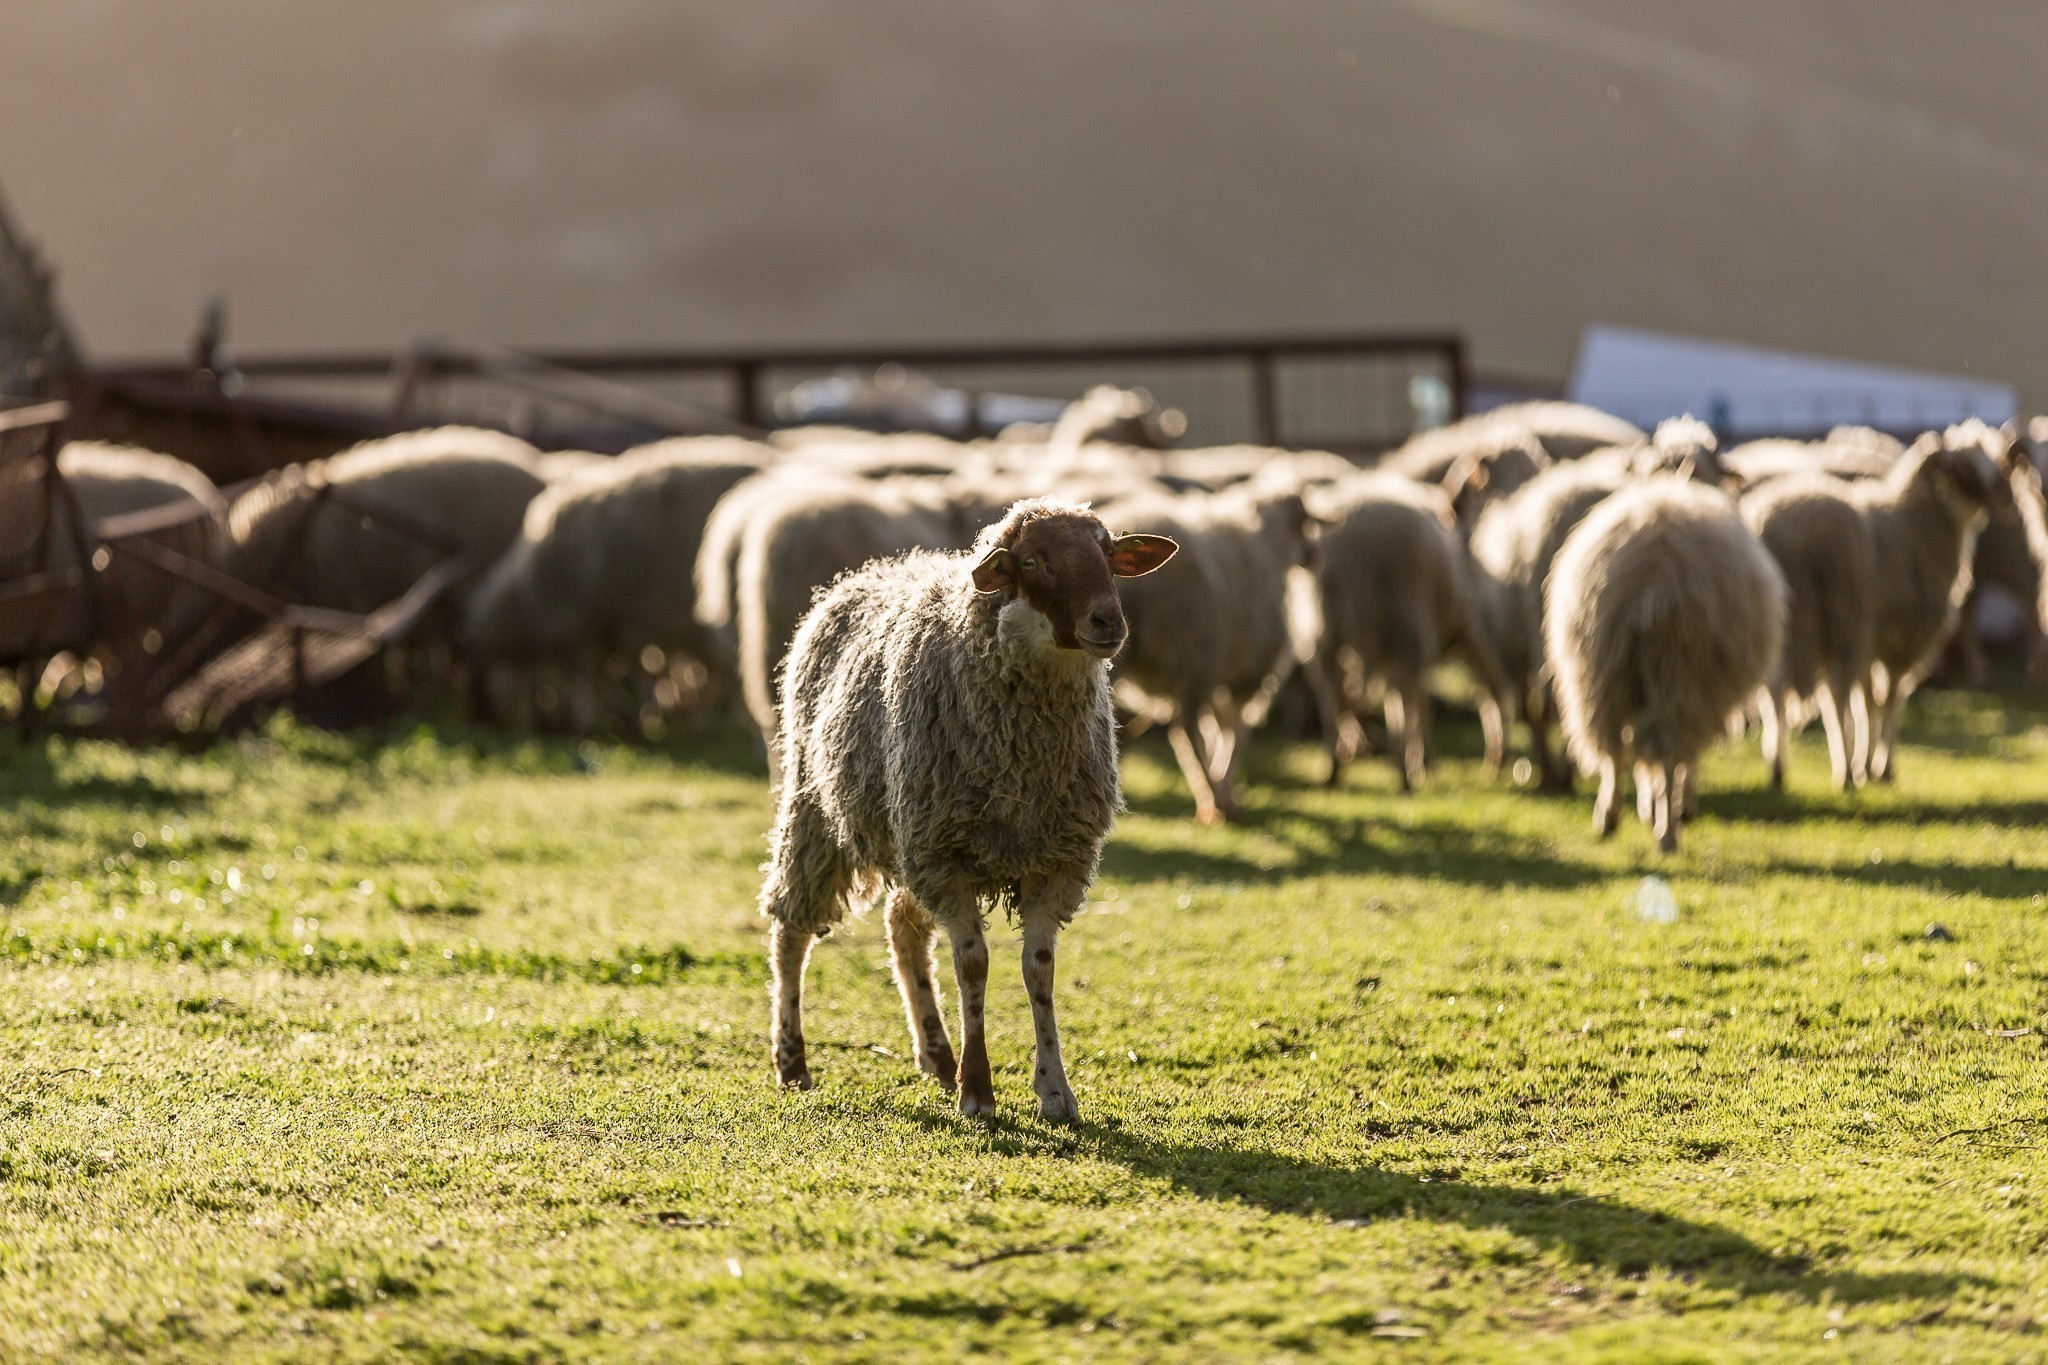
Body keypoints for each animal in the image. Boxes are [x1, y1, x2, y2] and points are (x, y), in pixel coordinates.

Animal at [761, 497, 1179, 1113]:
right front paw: (978, 1091)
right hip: (818, 810)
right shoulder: (947, 856)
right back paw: (792, 1060)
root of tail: (869, 572)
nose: (1108, 622)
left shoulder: (1054, 859)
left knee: (903, 930)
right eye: (1031, 561)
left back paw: (937, 1056)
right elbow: (974, 965)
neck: (1024, 759)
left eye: (1108, 554)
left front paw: (1055, 1091)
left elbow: (1039, 970)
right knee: (791, 932)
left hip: (908, 835)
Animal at [1097, 482, 1318, 822]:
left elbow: (1219, 730)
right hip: (1193, 654)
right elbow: (1236, 735)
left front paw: (1226, 786)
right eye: (1305, 524)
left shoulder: (1223, 676)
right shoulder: (1247, 676)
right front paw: (1225, 790)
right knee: (1185, 729)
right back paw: (1212, 799)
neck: (1272, 546)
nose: (1314, 556)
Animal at [1540, 474, 1785, 847]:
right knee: (1663, 745)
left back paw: (1618, 819)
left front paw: (1651, 806)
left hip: (1606, 674)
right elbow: (1683, 759)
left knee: (1621, 748)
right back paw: (1664, 828)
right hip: (1678, 671)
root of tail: (1660, 580)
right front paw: (1672, 806)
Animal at [1736, 472, 1875, 785]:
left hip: (1788, 630)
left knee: (1778, 693)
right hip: (1844, 621)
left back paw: (1778, 768)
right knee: (1838, 694)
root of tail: (1812, 530)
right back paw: (1847, 772)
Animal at [1859, 421, 1998, 785]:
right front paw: (1881, 767)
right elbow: (1887, 699)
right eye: (1964, 468)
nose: (2003, 497)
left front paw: (1866, 765)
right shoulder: (1903, 637)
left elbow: (1871, 700)